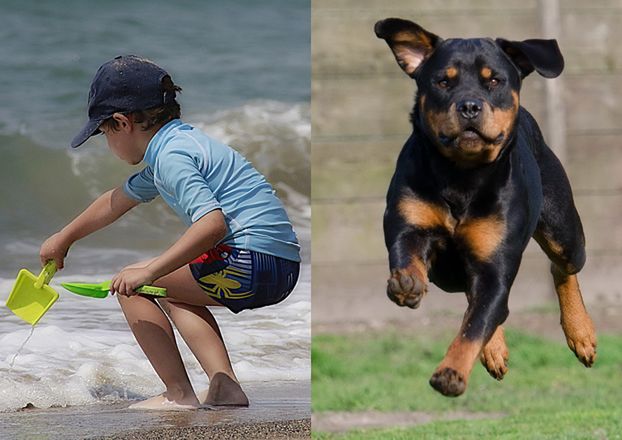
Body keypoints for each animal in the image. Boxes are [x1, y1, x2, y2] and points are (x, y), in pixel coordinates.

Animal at [376, 17, 600, 398]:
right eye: (443, 81)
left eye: (494, 80)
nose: (469, 105)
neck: (461, 176)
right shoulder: (408, 221)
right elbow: (408, 252)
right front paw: (408, 281)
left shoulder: (496, 261)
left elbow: (476, 324)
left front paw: (450, 373)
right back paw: (495, 349)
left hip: (565, 233)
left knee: (560, 268)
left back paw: (581, 333)